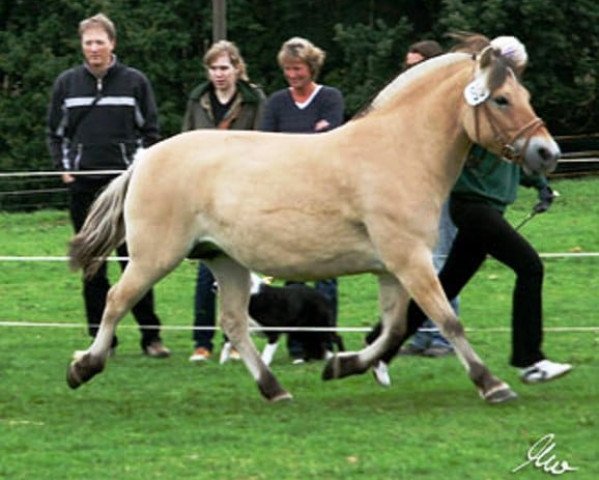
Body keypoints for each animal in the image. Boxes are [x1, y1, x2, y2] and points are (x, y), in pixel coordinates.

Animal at [65, 47, 564, 404]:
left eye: (525, 98)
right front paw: (492, 384)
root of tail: (144, 159)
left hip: (224, 261)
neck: (399, 152)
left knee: (234, 323)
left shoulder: (393, 269)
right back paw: (83, 367)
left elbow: (395, 328)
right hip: (155, 257)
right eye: (501, 99)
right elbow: (446, 320)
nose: (547, 153)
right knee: (116, 300)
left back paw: (274, 390)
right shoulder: (410, 260)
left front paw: (342, 365)